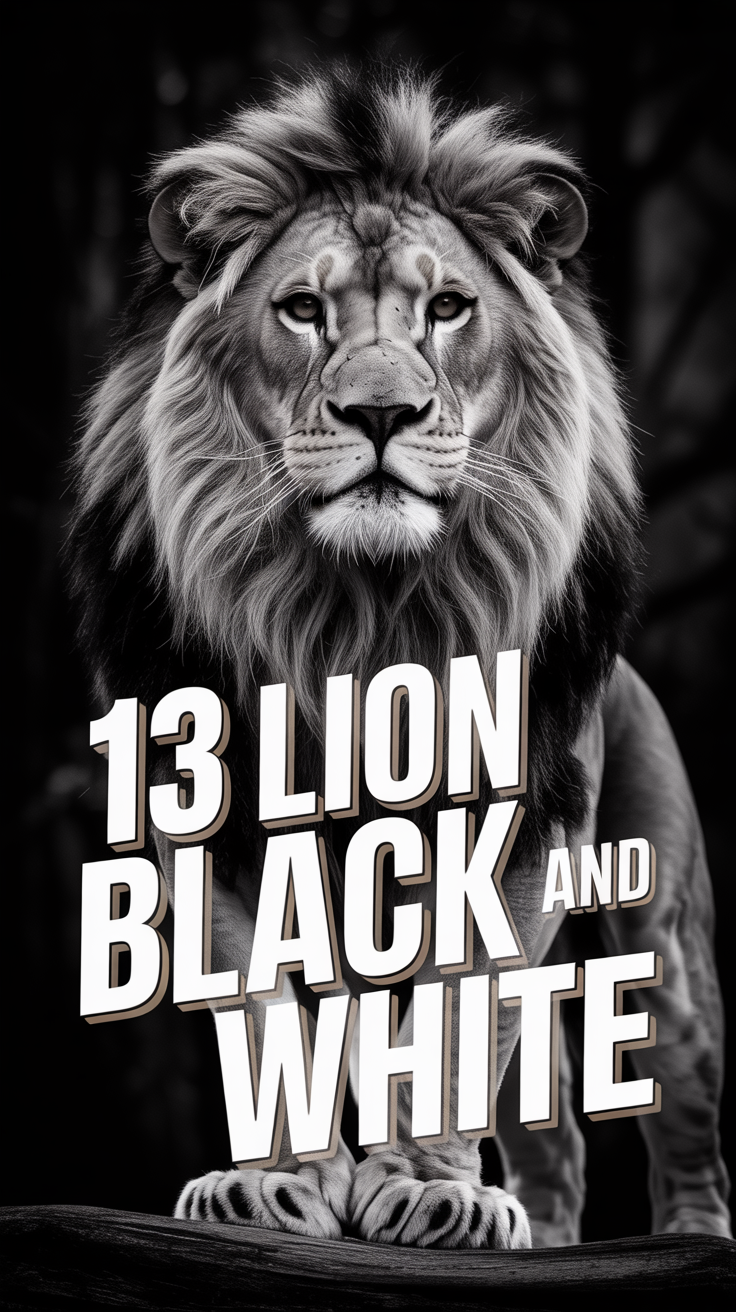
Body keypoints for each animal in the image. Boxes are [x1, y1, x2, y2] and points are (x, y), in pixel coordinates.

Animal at [68, 65, 731, 1248]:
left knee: (681, 1110)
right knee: (553, 1143)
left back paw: (688, 1243)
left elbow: (458, 1022)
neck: (361, 618)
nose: (383, 412)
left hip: (663, 938)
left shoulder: (523, 830)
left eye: (447, 307)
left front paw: (427, 1189)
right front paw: (271, 1186)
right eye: (303, 309)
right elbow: (267, 1017)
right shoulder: (216, 833)